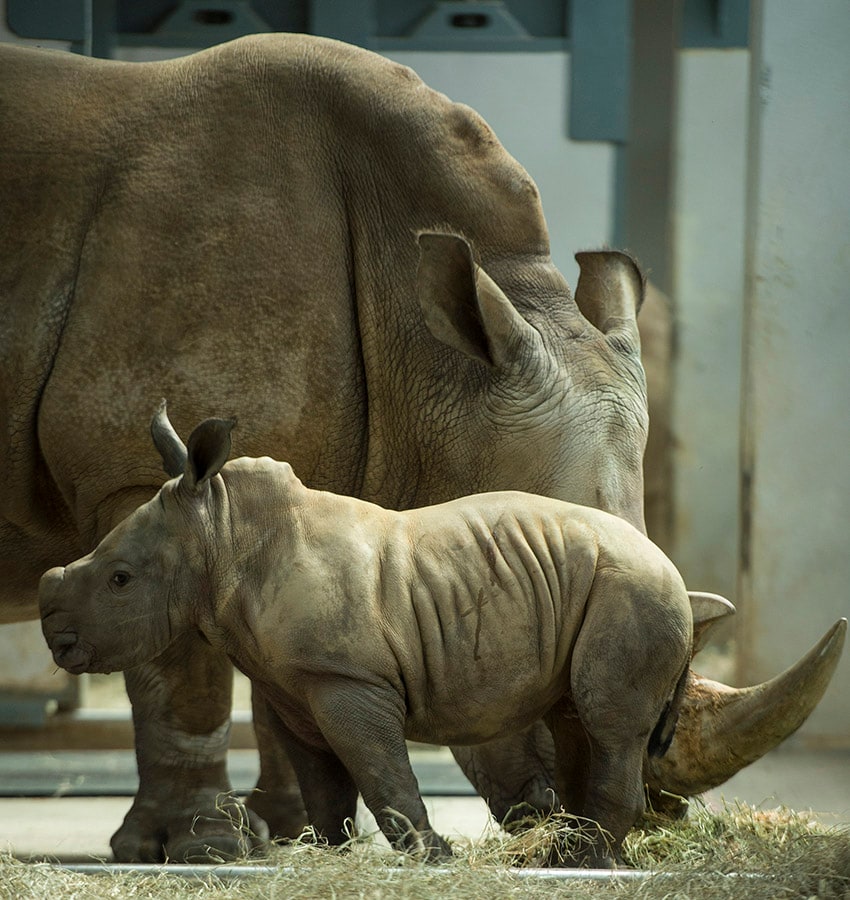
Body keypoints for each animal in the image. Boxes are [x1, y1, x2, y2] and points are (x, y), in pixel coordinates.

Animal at [38, 406, 696, 864]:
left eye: (120, 579)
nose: (56, 638)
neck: (222, 536)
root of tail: (671, 565)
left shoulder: (348, 677)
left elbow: (382, 772)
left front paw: (432, 859)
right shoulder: (292, 684)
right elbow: (324, 786)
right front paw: (324, 855)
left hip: (632, 589)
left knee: (607, 724)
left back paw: (590, 860)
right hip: (605, 587)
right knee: (573, 719)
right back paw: (564, 858)